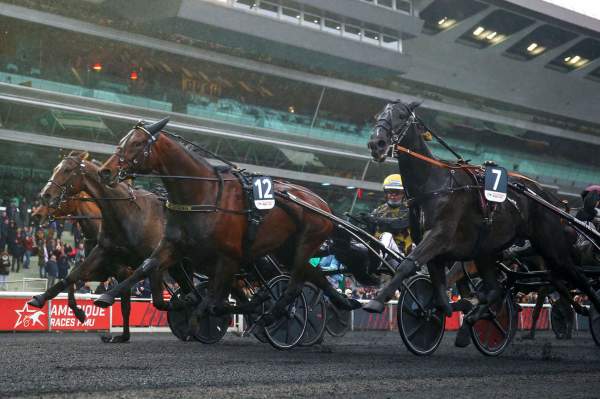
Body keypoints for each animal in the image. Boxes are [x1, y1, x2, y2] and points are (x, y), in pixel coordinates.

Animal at [32, 152, 177, 344]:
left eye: (67, 170)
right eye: (55, 168)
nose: (44, 197)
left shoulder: (122, 271)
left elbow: (125, 305)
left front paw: (122, 334)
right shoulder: (99, 270)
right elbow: (72, 278)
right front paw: (79, 313)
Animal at [95, 119, 358, 324]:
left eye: (137, 144)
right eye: (124, 140)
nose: (105, 171)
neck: (203, 195)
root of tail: (320, 201)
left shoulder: (229, 257)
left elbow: (213, 302)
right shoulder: (175, 245)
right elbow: (148, 265)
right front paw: (107, 296)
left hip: (308, 240)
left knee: (295, 281)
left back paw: (277, 313)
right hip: (286, 248)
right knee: (313, 273)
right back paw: (344, 301)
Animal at [364, 101, 600, 324]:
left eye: (402, 115)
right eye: (378, 115)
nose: (377, 144)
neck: (432, 184)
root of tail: (543, 194)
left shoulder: (440, 234)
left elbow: (407, 264)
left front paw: (376, 301)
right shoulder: (431, 243)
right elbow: (438, 285)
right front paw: (440, 309)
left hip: (551, 246)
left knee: (577, 276)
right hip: (487, 249)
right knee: (498, 287)